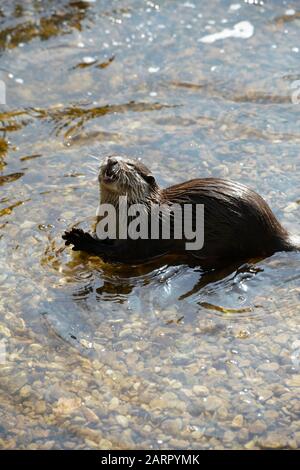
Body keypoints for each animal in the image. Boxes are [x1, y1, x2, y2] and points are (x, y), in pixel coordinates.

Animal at [62, 156, 298, 266]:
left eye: (130, 165)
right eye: (111, 155)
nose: (112, 160)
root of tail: (274, 230)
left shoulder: (141, 238)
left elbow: (120, 254)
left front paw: (78, 238)